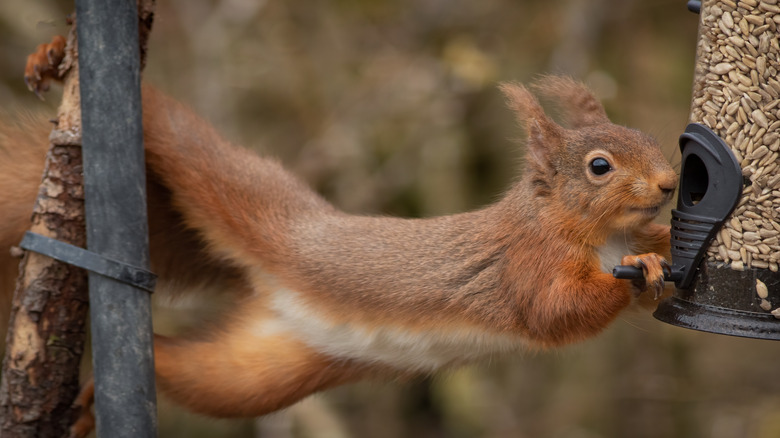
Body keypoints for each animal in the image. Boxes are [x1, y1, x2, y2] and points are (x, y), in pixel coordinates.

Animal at [4, 36, 676, 424]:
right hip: (229, 181)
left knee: (184, 367)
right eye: (599, 167)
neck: (598, 233)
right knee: (169, 126)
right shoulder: (526, 265)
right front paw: (637, 274)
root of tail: (270, 282)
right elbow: (556, 311)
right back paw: (56, 56)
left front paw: (669, 255)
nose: (673, 184)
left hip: (261, 375)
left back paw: (99, 392)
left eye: (649, 137)